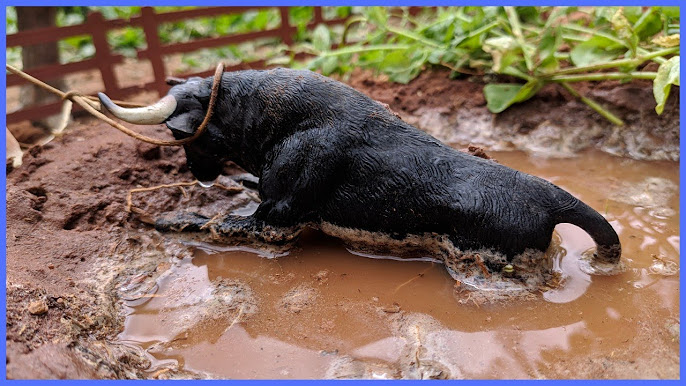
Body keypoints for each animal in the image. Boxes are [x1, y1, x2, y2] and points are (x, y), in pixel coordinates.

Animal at [101, 68, 624, 274]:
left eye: (179, 136)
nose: (200, 176)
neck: (269, 121)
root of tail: (551, 197)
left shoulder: (276, 222)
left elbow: (209, 222)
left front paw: (164, 218)